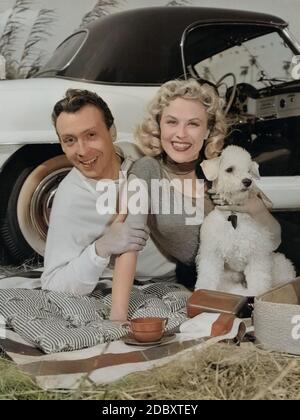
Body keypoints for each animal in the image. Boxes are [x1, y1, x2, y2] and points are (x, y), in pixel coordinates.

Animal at [195, 146, 296, 296]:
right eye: (229, 169)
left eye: (249, 171)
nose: (247, 181)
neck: (234, 215)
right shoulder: (211, 254)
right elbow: (207, 276)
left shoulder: (258, 255)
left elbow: (258, 281)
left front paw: (257, 293)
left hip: (280, 263)